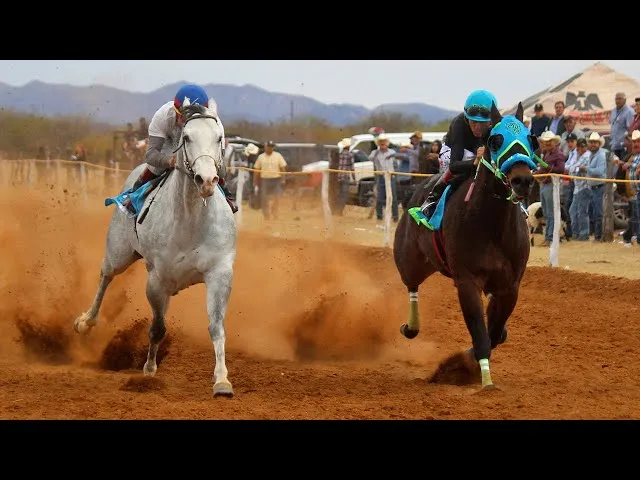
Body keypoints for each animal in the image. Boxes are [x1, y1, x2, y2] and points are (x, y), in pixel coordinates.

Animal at [73, 101, 238, 397]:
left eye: (219, 137)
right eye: (187, 138)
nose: (207, 180)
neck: (191, 221)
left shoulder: (219, 273)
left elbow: (216, 327)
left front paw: (221, 381)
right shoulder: (158, 278)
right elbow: (158, 328)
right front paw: (149, 369)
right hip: (119, 252)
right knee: (106, 276)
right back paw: (86, 321)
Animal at [393, 102, 539, 391]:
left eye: (531, 139)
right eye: (496, 140)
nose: (522, 181)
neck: (492, 225)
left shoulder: (509, 286)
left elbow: (494, 333)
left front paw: (465, 363)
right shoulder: (467, 281)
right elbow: (481, 335)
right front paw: (483, 379)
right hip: (410, 259)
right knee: (411, 284)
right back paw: (411, 326)